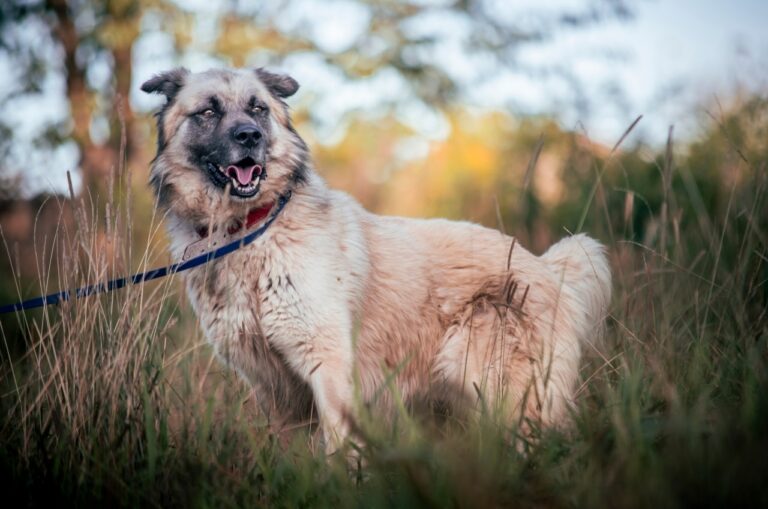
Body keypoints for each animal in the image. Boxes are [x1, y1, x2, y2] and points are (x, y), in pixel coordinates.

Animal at [141, 67, 612, 452]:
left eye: (257, 109)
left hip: (496, 384)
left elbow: (339, 447)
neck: (251, 229)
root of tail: (549, 269)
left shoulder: (328, 366)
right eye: (208, 111)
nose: (249, 137)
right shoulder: (276, 389)